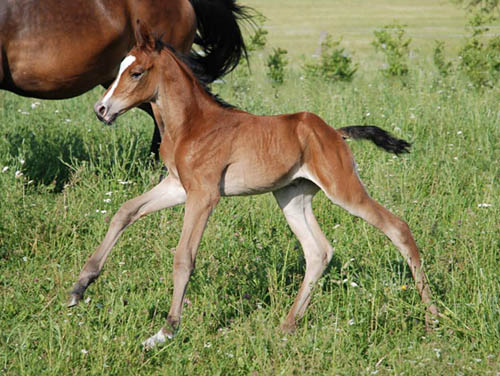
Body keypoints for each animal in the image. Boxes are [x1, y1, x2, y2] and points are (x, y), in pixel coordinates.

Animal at [69, 24, 438, 346]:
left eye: (136, 72)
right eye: (120, 67)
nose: (101, 109)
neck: (193, 124)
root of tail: (334, 132)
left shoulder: (204, 195)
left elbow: (184, 256)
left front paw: (166, 331)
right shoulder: (177, 186)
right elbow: (125, 211)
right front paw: (79, 287)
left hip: (343, 188)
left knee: (397, 228)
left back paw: (433, 318)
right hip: (292, 197)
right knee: (318, 251)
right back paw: (287, 326)